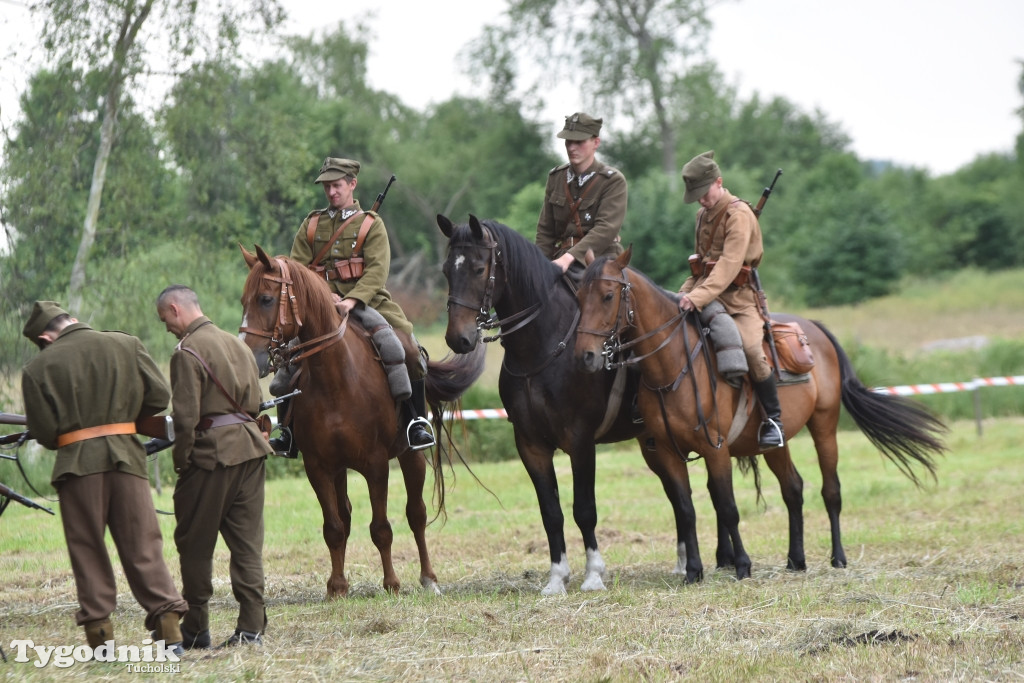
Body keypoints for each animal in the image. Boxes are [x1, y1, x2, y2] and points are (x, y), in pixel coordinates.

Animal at [237, 245, 485, 598]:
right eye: (244, 300)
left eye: (266, 299)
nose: (247, 354)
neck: (335, 378)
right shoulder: (318, 467)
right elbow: (334, 527)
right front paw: (337, 588)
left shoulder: (376, 464)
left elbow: (381, 528)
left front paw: (392, 583)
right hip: (340, 468)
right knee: (346, 516)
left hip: (411, 458)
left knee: (417, 515)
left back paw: (428, 578)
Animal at [577, 246, 942, 577]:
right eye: (579, 297)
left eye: (608, 295)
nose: (587, 356)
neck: (676, 363)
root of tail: (816, 329)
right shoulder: (668, 452)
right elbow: (686, 510)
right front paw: (693, 570)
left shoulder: (716, 448)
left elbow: (727, 507)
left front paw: (742, 564)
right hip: (774, 445)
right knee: (793, 489)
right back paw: (796, 559)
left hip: (824, 426)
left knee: (831, 490)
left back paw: (838, 557)